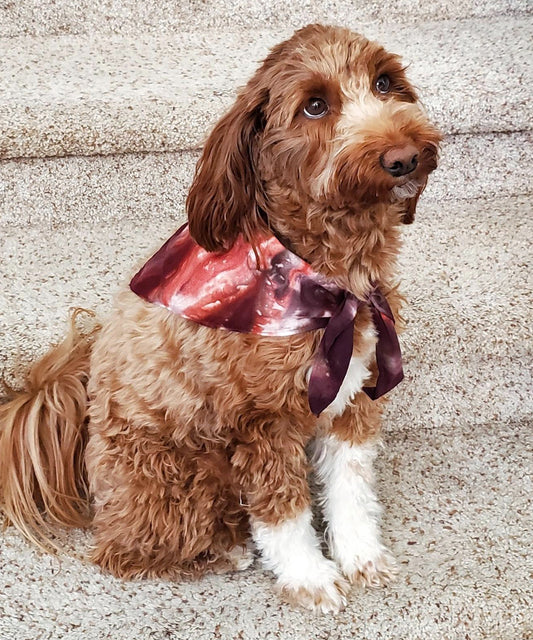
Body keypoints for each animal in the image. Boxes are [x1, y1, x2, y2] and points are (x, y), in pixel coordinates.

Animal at [0, 25, 438, 612]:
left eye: (385, 83)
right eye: (315, 106)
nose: (405, 156)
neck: (327, 280)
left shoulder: (354, 397)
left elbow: (350, 489)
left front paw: (361, 557)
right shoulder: (261, 424)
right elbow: (283, 512)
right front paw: (310, 578)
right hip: (179, 473)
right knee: (123, 553)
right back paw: (221, 552)